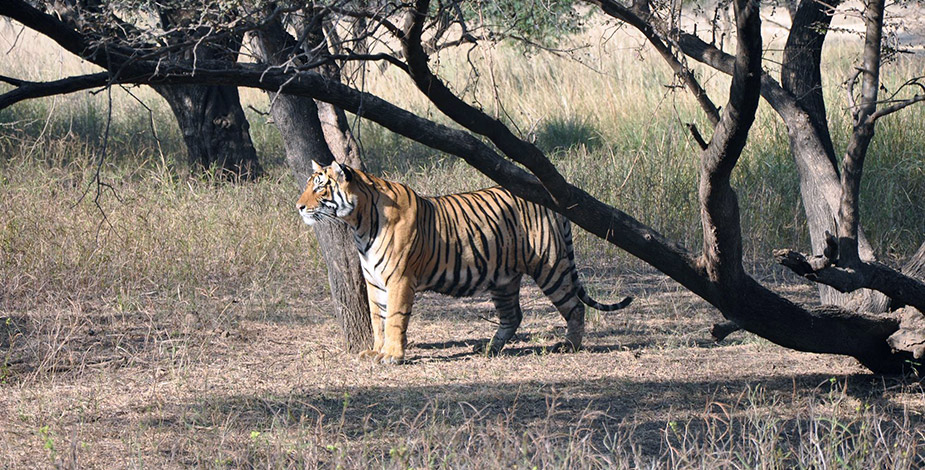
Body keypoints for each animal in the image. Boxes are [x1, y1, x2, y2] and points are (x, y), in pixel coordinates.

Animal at [300, 161, 632, 364]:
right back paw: (489, 348)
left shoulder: (399, 279)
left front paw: (393, 356)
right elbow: (377, 319)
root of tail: (548, 202)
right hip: (504, 278)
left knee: (574, 306)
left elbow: (393, 318)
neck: (359, 223)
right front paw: (376, 352)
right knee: (513, 316)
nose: (299, 206)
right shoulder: (373, 281)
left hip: (550, 267)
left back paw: (569, 345)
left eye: (320, 187)